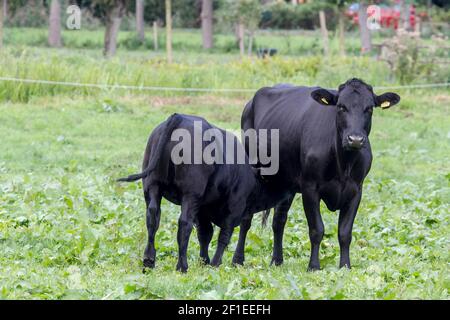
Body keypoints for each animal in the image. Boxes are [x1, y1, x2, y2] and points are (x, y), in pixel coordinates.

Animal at [118, 114, 284, 272]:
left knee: (153, 216)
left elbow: (205, 234)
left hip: (152, 185)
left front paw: (204, 261)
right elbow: (223, 235)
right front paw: (214, 263)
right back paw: (182, 266)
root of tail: (179, 117)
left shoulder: (202, 211)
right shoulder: (234, 208)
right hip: (190, 194)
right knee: (184, 223)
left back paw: (149, 261)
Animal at [237, 78, 400, 270]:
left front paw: (345, 266)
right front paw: (314, 266)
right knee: (246, 218)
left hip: (286, 183)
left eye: (369, 109)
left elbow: (345, 233)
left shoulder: (356, 190)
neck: (343, 165)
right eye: (341, 107)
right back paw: (237, 259)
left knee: (279, 221)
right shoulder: (310, 188)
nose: (355, 139)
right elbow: (317, 229)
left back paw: (277, 260)